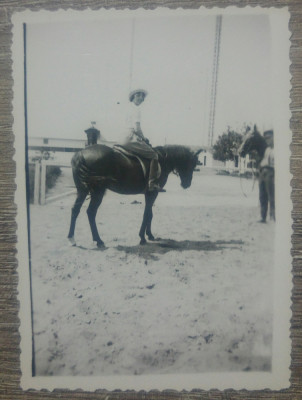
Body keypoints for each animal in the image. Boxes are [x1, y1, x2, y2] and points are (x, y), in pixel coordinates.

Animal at [67, 145, 202, 247]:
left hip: (83, 190)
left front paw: (149, 235)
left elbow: (150, 214)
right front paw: (142, 237)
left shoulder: (151, 194)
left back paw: (72, 238)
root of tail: (80, 154)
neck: (162, 160)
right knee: (91, 212)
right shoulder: (152, 193)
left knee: (75, 210)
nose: (187, 184)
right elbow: (147, 214)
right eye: (191, 164)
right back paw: (98, 240)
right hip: (97, 192)